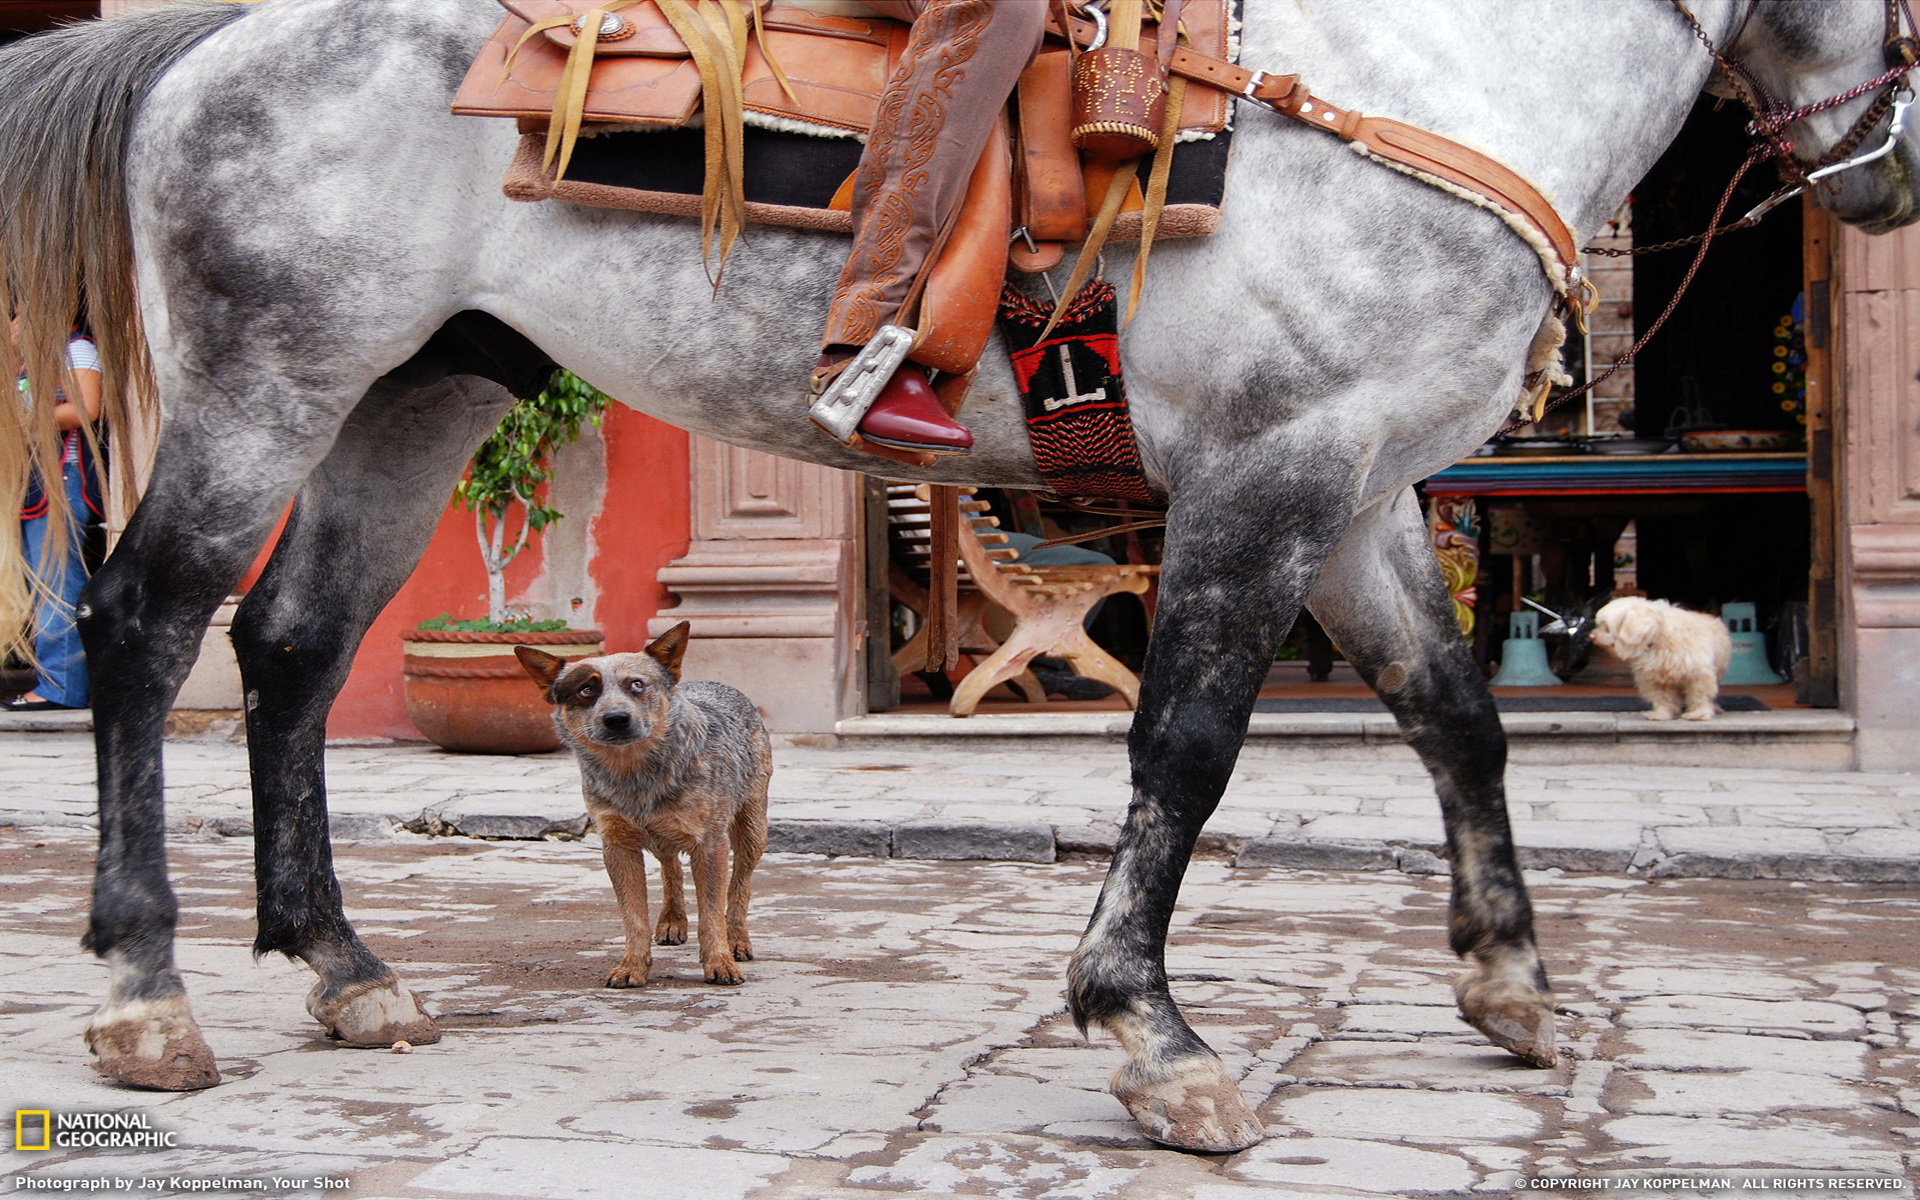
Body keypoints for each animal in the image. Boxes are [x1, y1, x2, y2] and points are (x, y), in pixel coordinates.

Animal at [522, 622, 775, 990]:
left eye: (637, 684)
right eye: (586, 690)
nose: (616, 718)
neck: (636, 775)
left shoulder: (710, 844)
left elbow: (712, 912)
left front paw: (719, 962)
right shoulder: (617, 846)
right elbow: (633, 916)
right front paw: (632, 966)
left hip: (752, 827)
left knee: (741, 884)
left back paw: (738, 940)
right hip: (663, 833)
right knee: (671, 866)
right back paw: (672, 920)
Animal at [1582, 595, 1735, 721]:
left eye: (1607, 627)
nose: (1591, 636)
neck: (1657, 638)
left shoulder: (1698, 674)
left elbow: (1699, 695)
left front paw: (1698, 714)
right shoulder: (1655, 677)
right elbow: (1662, 697)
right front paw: (1660, 714)